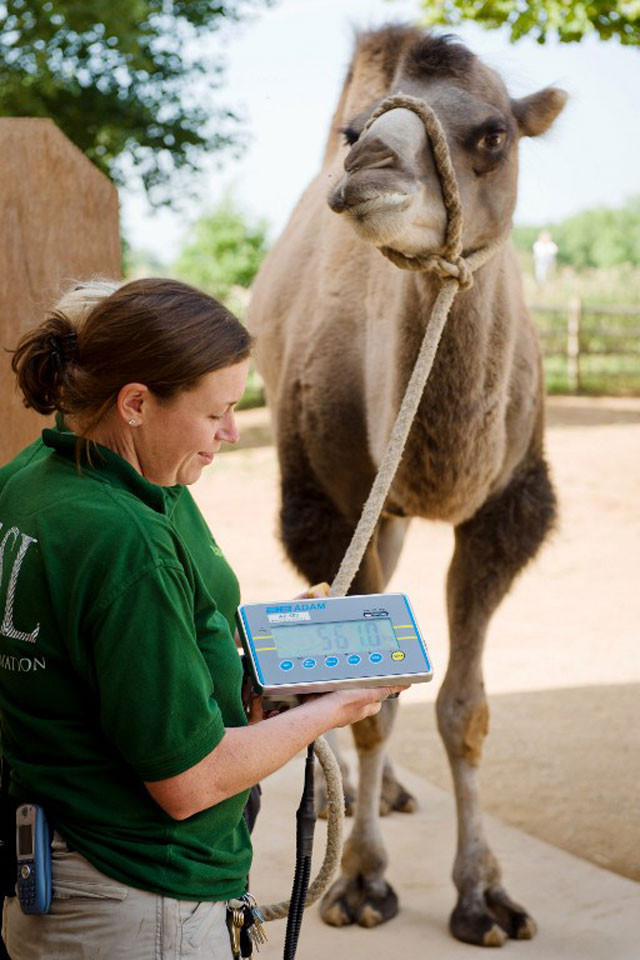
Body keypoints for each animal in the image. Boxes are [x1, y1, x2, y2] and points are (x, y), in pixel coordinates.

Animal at [248, 26, 568, 948]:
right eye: (356, 131)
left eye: (495, 133)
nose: (369, 168)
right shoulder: (327, 506)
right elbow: (371, 702)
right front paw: (361, 881)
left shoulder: (506, 512)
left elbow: (465, 709)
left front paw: (485, 896)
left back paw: (383, 791)